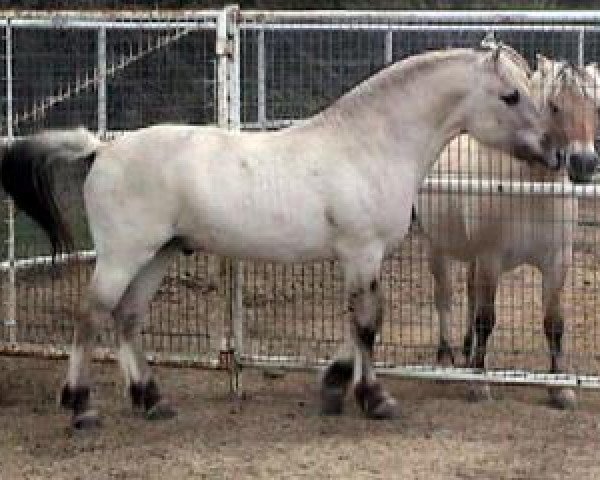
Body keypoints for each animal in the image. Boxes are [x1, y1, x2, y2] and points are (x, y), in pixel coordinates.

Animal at [0, 46, 556, 428]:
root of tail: (101, 149)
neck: (368, 144)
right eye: (511, 96)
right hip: (122, 256)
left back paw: (152, 401)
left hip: (157, 256)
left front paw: (335, 387)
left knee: (127, 319)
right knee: (89, 317)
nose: (553, 153)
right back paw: (81, 408)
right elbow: (369, 326)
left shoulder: (359, 259)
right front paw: (375, 400)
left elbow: (355, 323)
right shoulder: (363, 251)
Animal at [418, 50, 600, 406]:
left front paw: (560, 387)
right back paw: (445, 359)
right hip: (437, 247)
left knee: (470, 294)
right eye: (554, 106)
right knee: (444, 297)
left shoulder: (557, 260)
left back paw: (466, 350)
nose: (584, 164)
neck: (530, 188)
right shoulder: (491, 258)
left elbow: (554, 323)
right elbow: (486, 319)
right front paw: (479, 383)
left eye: (596, 106)